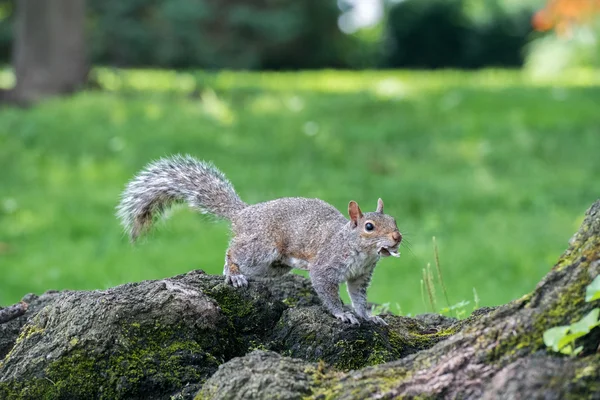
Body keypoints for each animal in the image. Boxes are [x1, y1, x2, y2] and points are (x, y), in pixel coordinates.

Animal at [116, 154, 404, 324]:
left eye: (394, 221)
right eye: (369, 227)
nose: (398, 237)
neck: (358, 249)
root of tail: (242, 214)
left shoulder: (360, 277)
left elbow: (359, 298)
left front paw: (368, 317)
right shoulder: (326, 266)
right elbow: (328, 292)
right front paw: (343, 314)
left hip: (274, 266)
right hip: (262, 248)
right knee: (233, 251)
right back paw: (233, 273)